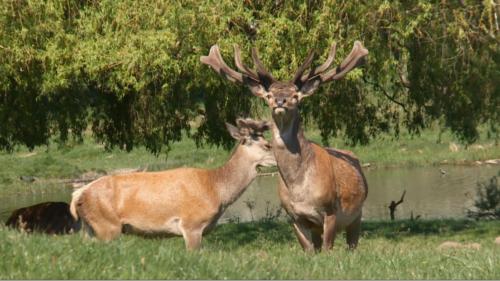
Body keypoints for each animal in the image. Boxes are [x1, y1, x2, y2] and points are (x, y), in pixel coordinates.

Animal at [69, 117, 276, 248]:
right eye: (267, 145)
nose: (279, 159)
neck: (216, 190)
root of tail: (79, 194)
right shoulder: (191, 224)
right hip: (107, 225)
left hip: (89, 228)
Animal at [201, 40, 370, 250]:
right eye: (269, 95)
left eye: (296, 95)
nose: (280, 101)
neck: (298, 189)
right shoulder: (294, 216)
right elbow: (309, 250)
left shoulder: (330, 210)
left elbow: (327, 248)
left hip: (357, 214)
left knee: (352, 244)